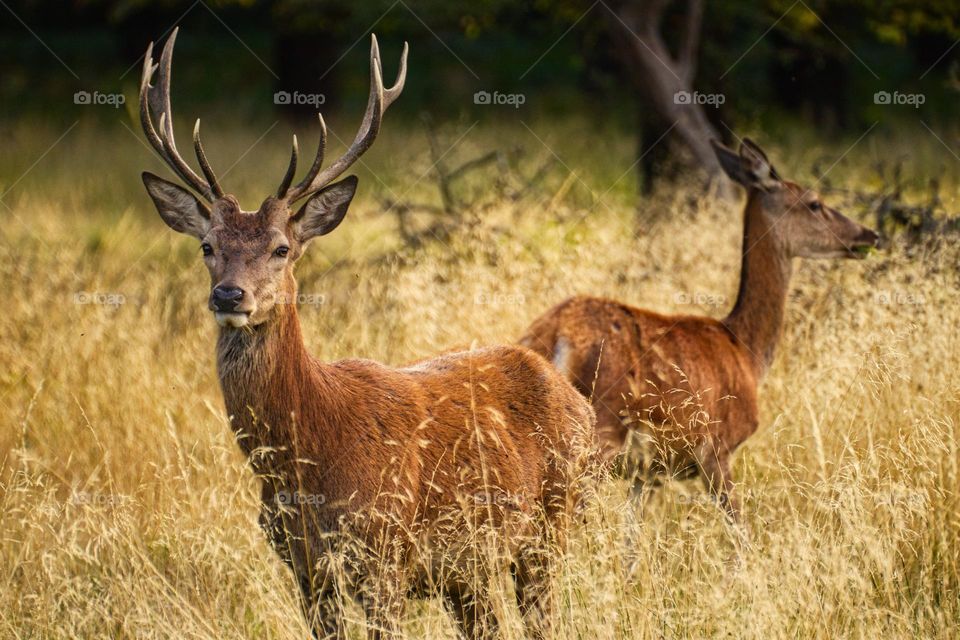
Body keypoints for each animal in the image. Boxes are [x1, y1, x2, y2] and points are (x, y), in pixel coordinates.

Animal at [138, 29, 597, 639]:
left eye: (281, 249)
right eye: (207, 246)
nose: (230, 296)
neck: (307, 457)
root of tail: (574, 397)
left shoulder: (384, 554)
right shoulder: (303, 567)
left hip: (552, 523)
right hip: (469, 570)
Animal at [520, 138, 880, 521]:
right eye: (814, 203)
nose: (870, 234)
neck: (746, 351)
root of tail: (556, 336)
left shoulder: (649, 472)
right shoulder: (717, 449)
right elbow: (739, 526)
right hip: (601, 429)